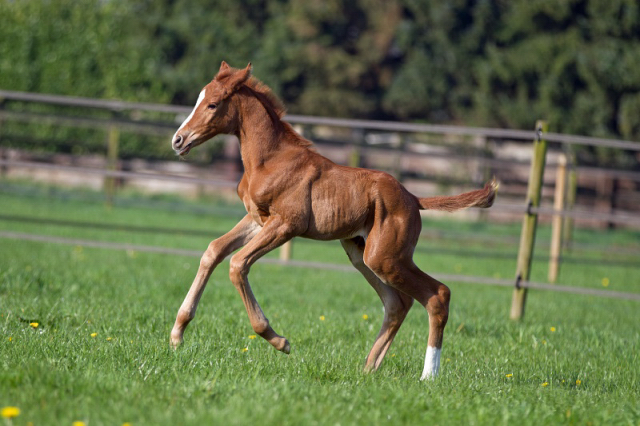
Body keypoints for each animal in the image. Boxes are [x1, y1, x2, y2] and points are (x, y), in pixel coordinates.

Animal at [168, 60, 498, 380]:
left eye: (212, 104)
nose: (178, 140)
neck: (270, 160)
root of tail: (414, 198)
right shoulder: (256, 220)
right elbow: (213, 250)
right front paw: (177, 334)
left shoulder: (286, 224)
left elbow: (237, 264)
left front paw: (280, 341)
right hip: (361, 253)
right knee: (397, 304)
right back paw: (369, 369)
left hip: (386, 257)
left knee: (437, 295)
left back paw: (428, 376)